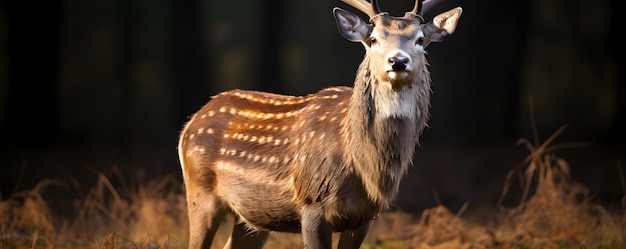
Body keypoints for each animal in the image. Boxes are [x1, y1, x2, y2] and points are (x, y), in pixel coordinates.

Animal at [178, 0, 460, 248]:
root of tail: (191, 123)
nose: (398, 61)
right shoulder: (312, 203)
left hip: (253, 218)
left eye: (420, 40)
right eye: (373, 39)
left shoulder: (365, 217)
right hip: (200, 191)